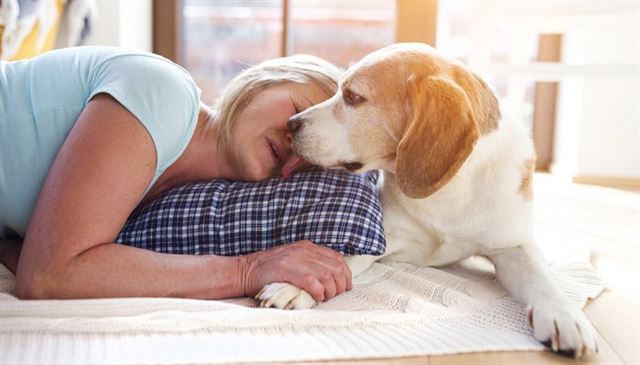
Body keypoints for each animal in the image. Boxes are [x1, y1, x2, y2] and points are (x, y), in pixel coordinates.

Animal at [254, 43, 596, 358]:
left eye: (352, 96)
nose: (291, 123)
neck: (448, 193)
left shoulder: (513, 247)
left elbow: (542, 279)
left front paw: (564, 314)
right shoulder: (384, 238)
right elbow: (341, 258)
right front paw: (297, 283)